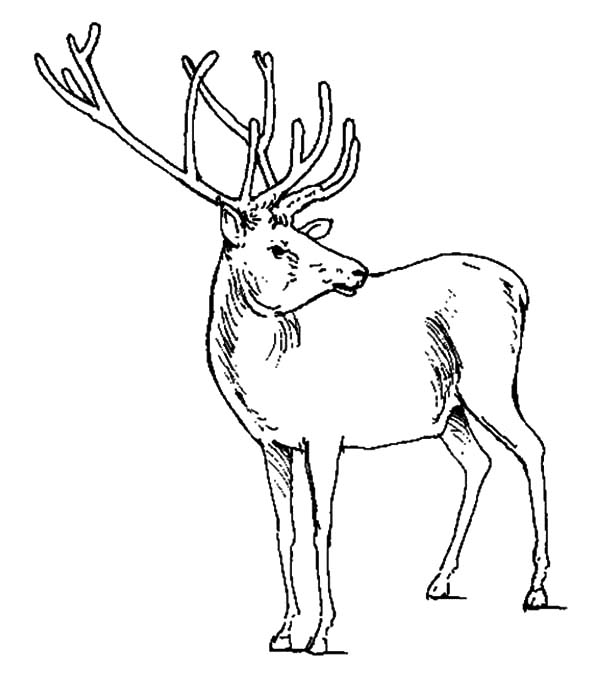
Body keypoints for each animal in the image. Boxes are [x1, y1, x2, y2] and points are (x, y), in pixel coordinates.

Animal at [35, 23, 552, 655]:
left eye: (308, 235)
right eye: (282, 246)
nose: (357, 270)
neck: (271, 376)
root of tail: (519, 285)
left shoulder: (328, 431)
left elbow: (323, 525)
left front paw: (323, 633)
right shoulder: (270, 441)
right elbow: (285, 529)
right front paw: (284, 630)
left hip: (492, 380)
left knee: (532, 447)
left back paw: (537, 588)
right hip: (446, 408)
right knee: (478, 462)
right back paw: (440, 579)